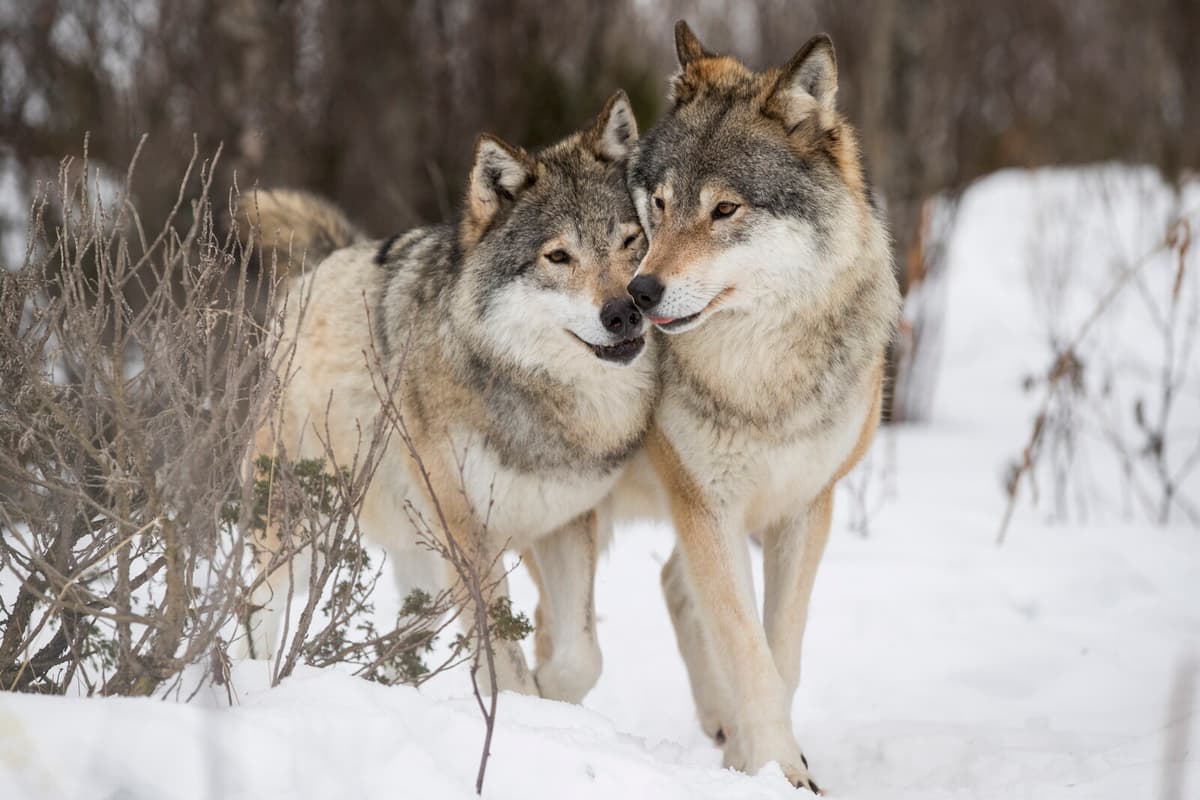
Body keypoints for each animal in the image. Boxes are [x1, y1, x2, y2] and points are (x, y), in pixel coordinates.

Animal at [241, 91, 657, 703]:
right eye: (558, 257)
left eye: (631, 242)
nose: (624, 311)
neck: (540, 396)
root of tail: (317, 268)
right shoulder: (469, 537)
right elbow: (505, 664)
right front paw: (525, 708)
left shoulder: (564, 523)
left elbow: (581, 657)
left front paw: (554, 697)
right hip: (303, 533)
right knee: (254, 608)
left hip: (424, 568)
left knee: (401, 638)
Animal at [622, 23, 901, 791]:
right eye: (661, 204)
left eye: (725, 210)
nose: (639, 293)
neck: (759, 378)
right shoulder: (707, 506)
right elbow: (750, 657)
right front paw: (778, 768)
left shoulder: (806, 508)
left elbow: (782, 652)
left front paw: (772, 763)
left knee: (671, 582)